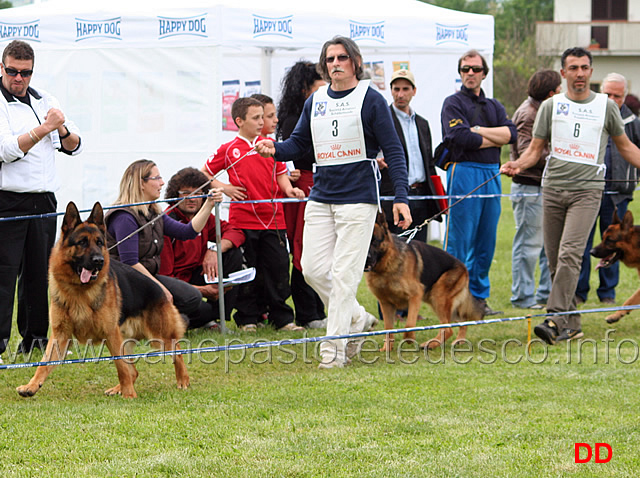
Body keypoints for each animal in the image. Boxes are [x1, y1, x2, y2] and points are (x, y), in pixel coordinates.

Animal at [16, 202, 189, 400]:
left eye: (99, 243)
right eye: (82, 242)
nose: (99, 260)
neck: (79, 291)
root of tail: (160, 289)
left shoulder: (110, 332)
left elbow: (121, 367)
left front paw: (129, 394)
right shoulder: (60, 335)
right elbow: (44, 363)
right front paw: (31, 386)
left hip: (158, 336)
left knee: (177, 352)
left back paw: (182, 381)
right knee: (134, 371)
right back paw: (118, 388)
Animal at [362, 212, 482, 352]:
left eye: (375, 241)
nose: (366, 259)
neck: (385, 268)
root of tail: (463, 266)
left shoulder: (415, 296)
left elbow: (409, 325)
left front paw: (409, 340)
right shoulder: (386, 304)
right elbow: (388, 329)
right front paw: (387, 348)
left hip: (438, 298)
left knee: (448, 329)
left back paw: (432, 343)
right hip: (437, 300)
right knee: (461, 321)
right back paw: (459, 341)